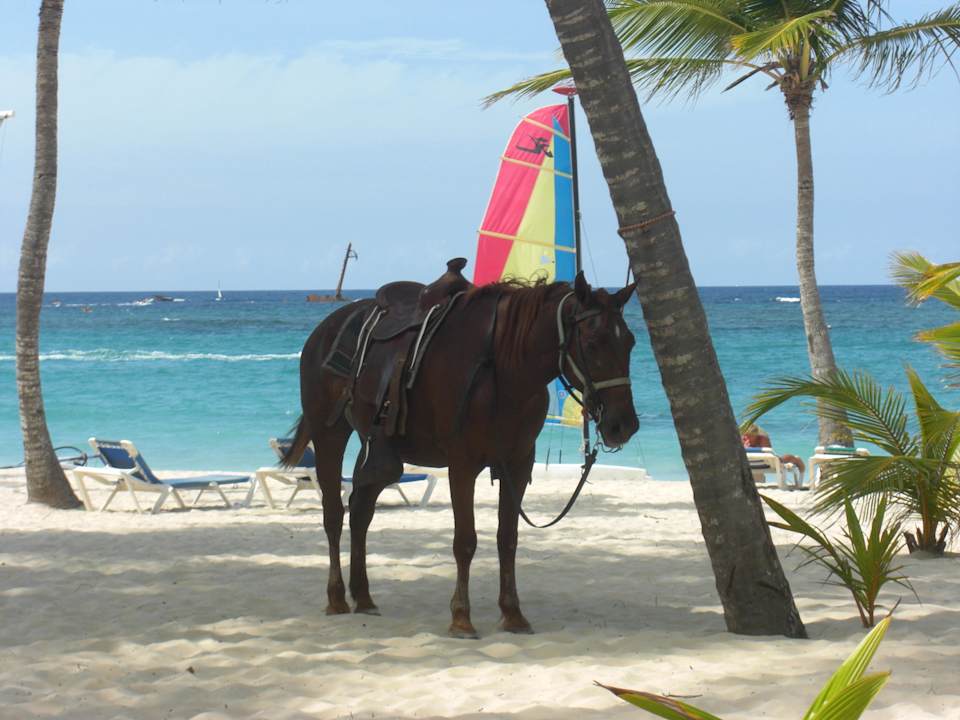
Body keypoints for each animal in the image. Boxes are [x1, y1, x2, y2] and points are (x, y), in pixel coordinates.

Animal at [284, 267, 639, 637]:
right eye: (592, 343)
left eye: (630, 342)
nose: (623, 424)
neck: (502, 369)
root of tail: (324, 329)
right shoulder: (462, 465)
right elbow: (465, 541)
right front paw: (461, 618)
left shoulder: (518, 464)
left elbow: (508, 538)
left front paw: (513, 614)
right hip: (330, 435)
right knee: (334, 515)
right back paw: (337, 597)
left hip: (377, 454)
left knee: (361, 511)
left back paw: (364, 597)